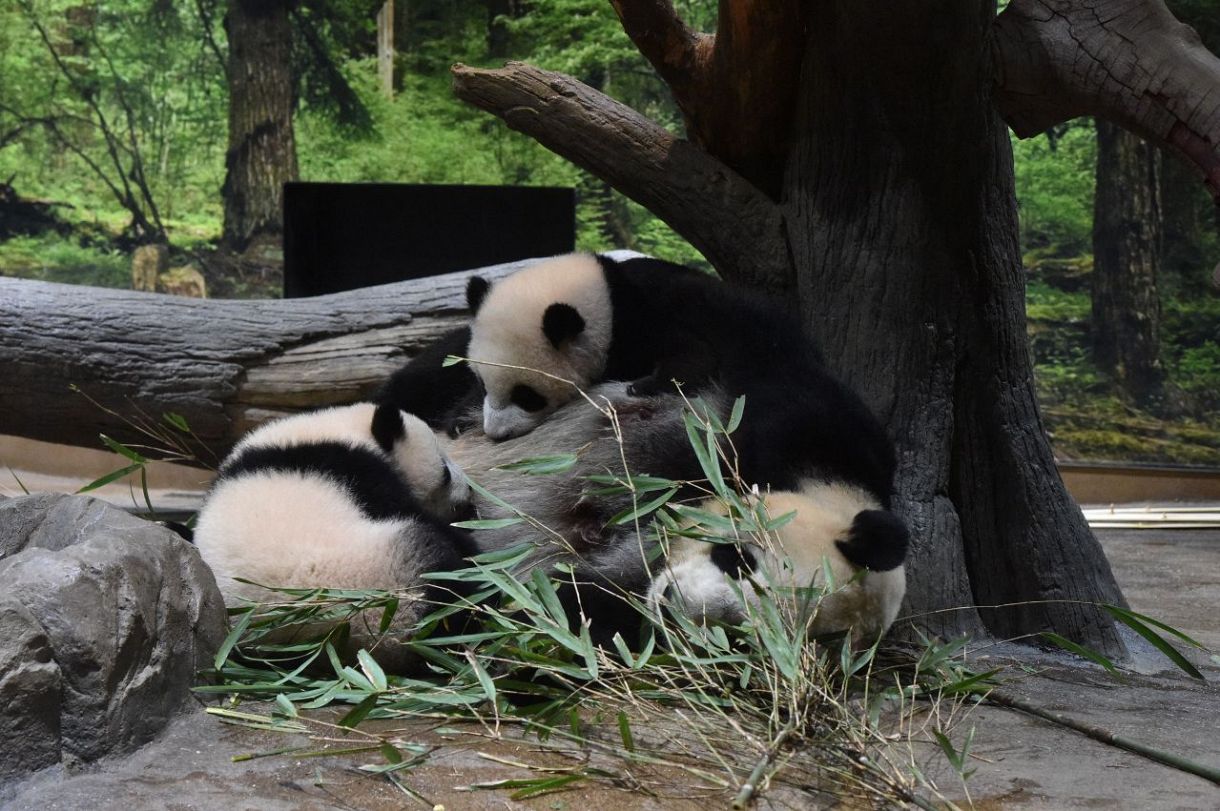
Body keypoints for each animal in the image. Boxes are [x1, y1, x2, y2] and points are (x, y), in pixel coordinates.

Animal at [192, 402, 478, 668]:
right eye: (445, 471)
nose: (470, 493)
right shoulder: (357, 470)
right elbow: (412, 512)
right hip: (386, 576)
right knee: (442, 573)